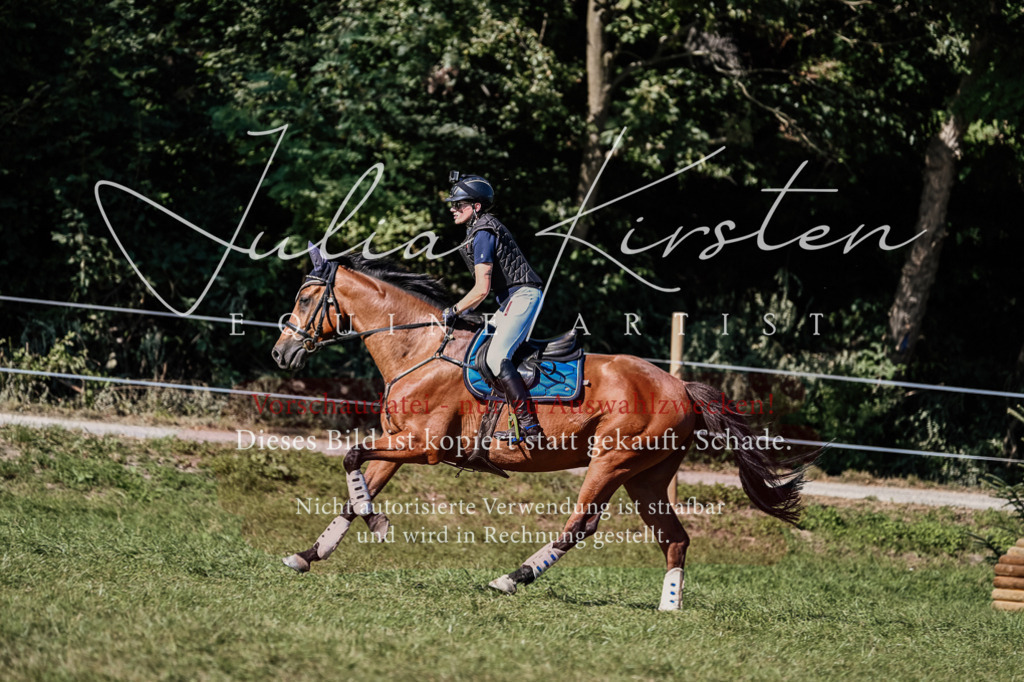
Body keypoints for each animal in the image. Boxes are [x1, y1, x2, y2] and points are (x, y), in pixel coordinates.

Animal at [271, 246, 810, 610]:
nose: (280, 352)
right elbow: (357, 486)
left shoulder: (422, 445)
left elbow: (352, 458)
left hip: (612, 461)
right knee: (674, 538)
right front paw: (309, 553)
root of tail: (680, 387)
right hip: (647, 478)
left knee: (580, 526)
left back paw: (512, 578)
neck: (419, 350)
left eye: (305, 298)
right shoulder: (398, 442)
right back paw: (669, 609)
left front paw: (376, 524)